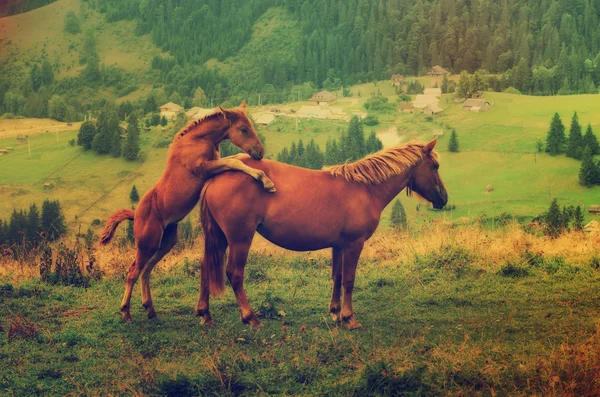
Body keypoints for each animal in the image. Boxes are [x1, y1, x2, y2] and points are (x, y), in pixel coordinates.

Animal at [99, 102, 276, 322]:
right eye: (244, 129)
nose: (259, 152)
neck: (198, 139)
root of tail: (136, 215)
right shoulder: (204, 168)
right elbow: (235, 161)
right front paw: (266, 180)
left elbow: (234, 159)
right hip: (147, 244)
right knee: (133, 271)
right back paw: (126, 312)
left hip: (165, 243)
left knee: (146, 271)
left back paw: (150, 309)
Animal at [196, 138, 446, 328]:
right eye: (435, 166)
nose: (444, 198)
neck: (364, 189)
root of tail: (217, 176)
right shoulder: (354, 244)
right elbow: (349, 279)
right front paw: (349, 318)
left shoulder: (339, 245)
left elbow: (337, 277)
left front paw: (335, 312)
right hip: (240, 239)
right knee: (235, 273)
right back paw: (250, 318)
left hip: (219, 237)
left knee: (206, 267)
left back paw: (205, 314)